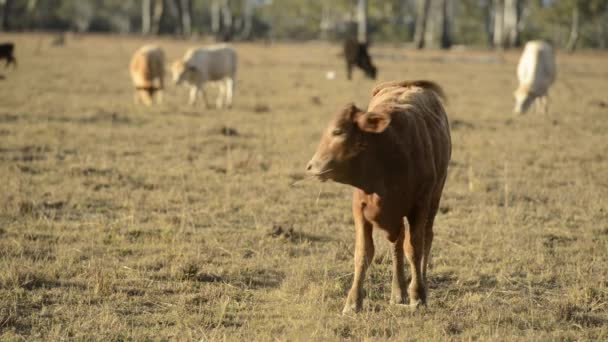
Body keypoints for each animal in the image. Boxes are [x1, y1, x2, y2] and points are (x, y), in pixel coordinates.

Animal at [304, 79, 452, 312]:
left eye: (338, 131)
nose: (311, 166)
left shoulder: (420, 206)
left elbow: (414, 248)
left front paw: (417, 294)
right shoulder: (360, 209)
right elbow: (363, 253)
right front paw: (353, 301)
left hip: (434, 200)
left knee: (426, 238)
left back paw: (421, 285)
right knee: (396, 244)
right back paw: (397, 291)